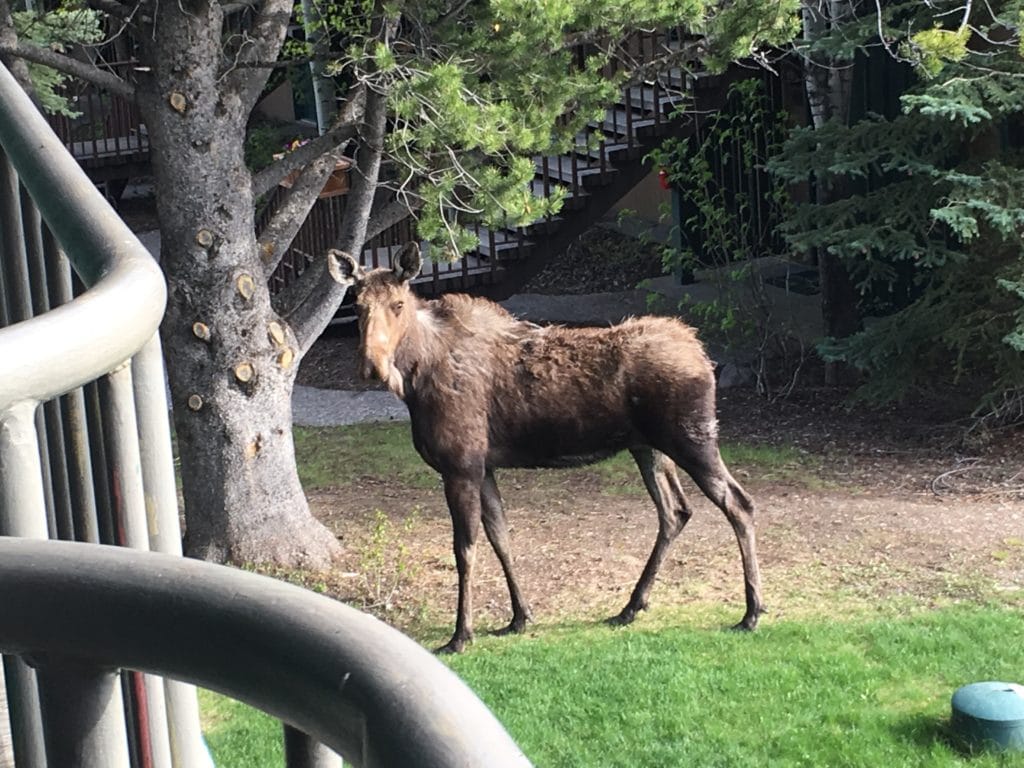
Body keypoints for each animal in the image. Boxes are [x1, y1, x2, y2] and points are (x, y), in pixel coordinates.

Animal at [331, 243, 765, 651]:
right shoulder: (484, 468)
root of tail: (703, 356)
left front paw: (461, 634)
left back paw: (751, 611)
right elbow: (501, 538)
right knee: (675, 511)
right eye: (358, 306)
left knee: (739, 502)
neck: (415, 382)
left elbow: (465, 549)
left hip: (693, 438)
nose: (372, 366)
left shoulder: (461, 466)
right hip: (648, 448)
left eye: (398, 304)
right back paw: (631, 606)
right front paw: (519, 617)